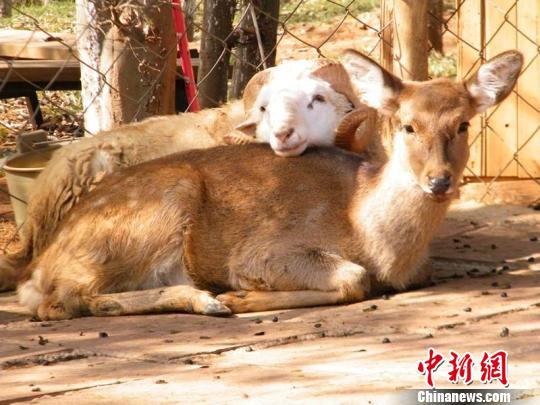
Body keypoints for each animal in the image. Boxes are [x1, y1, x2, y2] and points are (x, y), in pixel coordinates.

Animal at [19, 49, 520, 318]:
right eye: (407, 125)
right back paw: (210, 300)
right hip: (160, 205)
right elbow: (354, 277)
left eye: (463, 125)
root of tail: (40, 265)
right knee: (64, 298)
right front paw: (240, 294)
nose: (439, 181)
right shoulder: (263, 249)